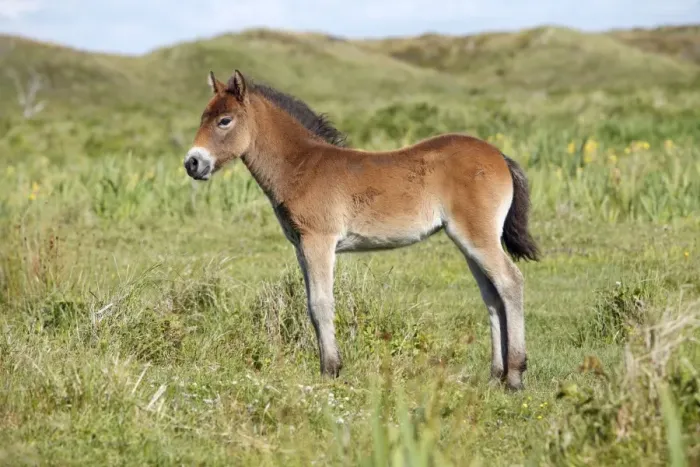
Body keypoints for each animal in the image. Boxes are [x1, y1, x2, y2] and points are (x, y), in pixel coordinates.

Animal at [183, 69, 541, 391]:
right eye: (203, 117)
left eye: (224, 121)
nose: (192, 163)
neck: (302, 166)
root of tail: (499, 155)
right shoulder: (301, 246)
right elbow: (311, 304)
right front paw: (327, 366)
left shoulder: (319, 242)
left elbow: (321, 304)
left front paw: (330, 370)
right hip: (467, 241)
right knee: (492, 295)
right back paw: (495, 376)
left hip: (477, 236)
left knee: (510, 282)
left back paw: (514, 377)